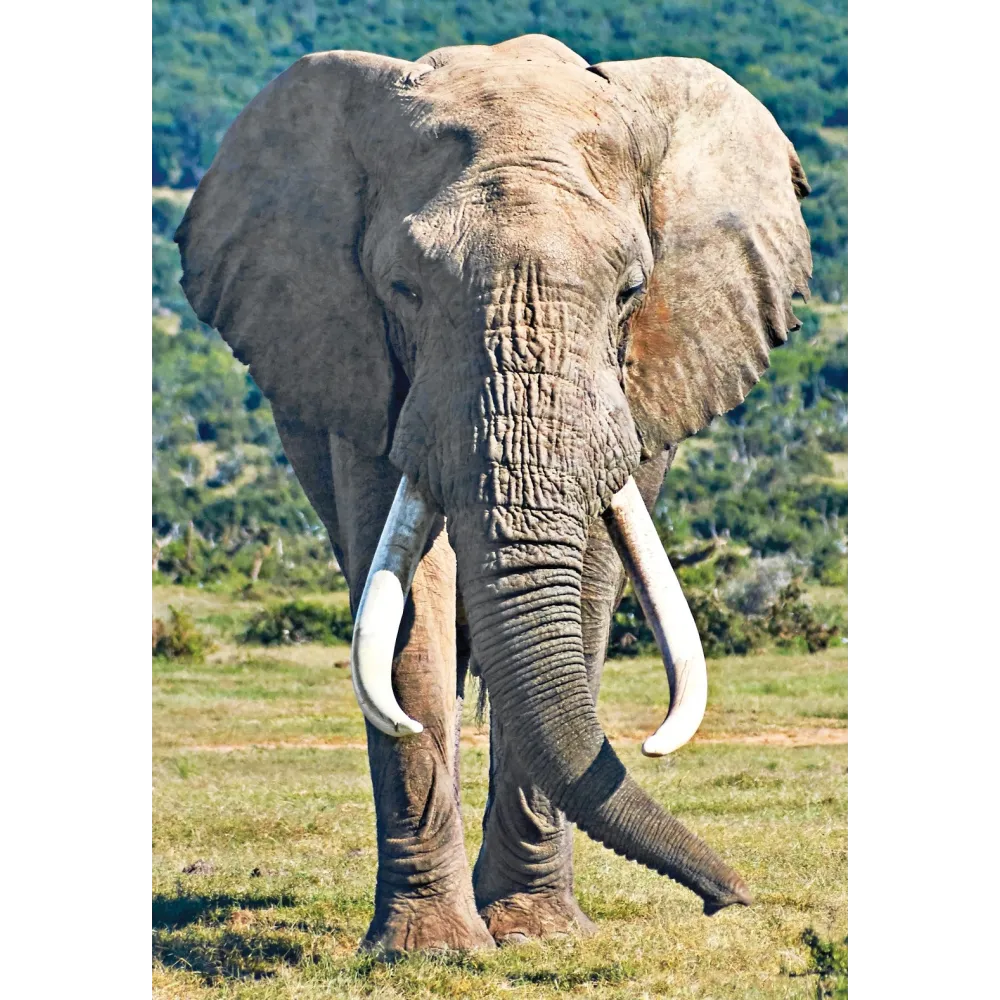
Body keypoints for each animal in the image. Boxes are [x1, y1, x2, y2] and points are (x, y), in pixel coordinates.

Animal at [175, 33, 811, 955]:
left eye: (630, 290)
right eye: (403, 290)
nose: (732, 898)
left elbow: (591, 576)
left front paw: (538, 937)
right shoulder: (366, 369)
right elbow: (412, 597)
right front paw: (429, 950)